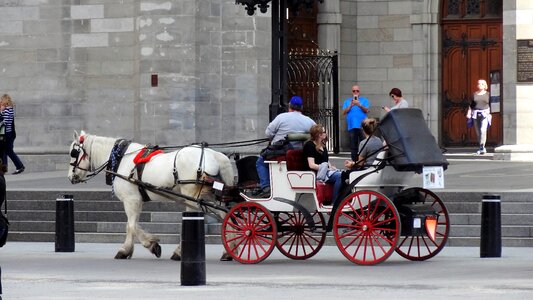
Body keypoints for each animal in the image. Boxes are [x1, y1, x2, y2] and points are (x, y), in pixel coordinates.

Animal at [67, 131, 234, 260]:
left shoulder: (131, 200)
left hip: (192, 196)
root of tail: (215, 155)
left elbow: (132, 226)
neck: (120, 158)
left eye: (73, 153)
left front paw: (149, 245)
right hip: (213, 196)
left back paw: (180, 252)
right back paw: (229, 250)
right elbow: (130, 225)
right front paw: (129, 249)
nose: (70, 177)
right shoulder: (137, 201)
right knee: (227, 217)